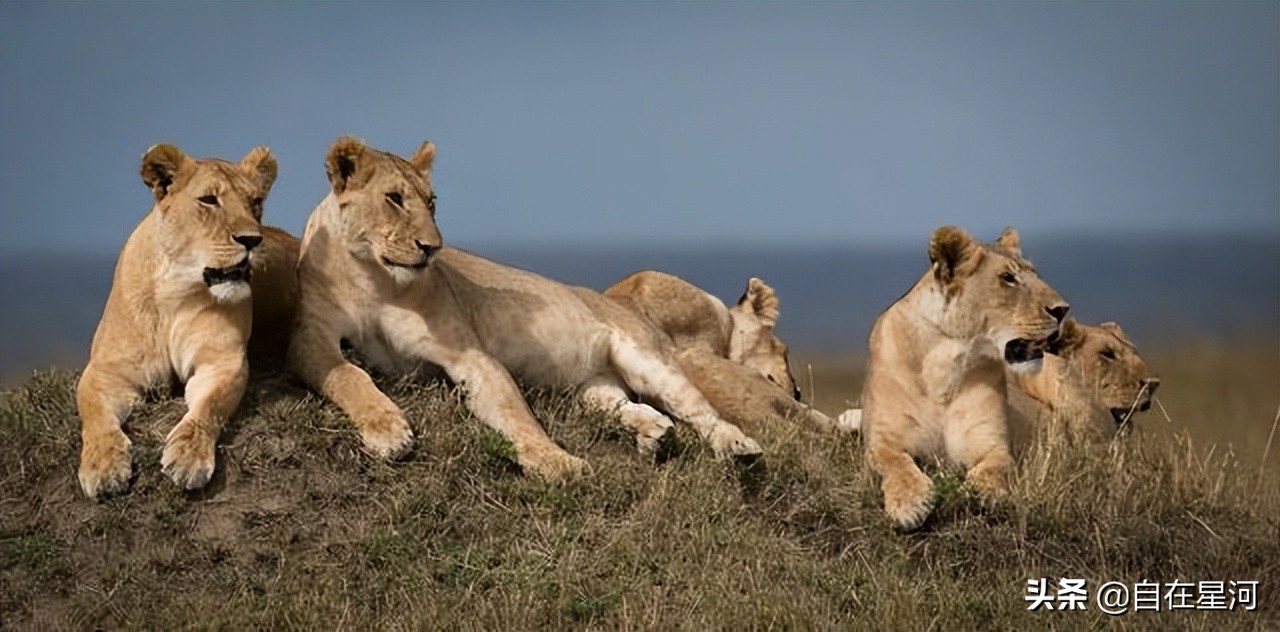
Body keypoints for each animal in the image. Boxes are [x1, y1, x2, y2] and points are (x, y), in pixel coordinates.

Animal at [78, 143, 298, 498]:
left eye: (255, 202)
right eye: (209, 200)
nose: (252, 240)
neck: (174, 290)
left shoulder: (223, 361)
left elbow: (209, 407)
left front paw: (188, 458)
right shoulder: (106, 369)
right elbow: (93, 413)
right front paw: (103, 467)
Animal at [288, 138, 757, 481]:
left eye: (431, 202)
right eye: (394, 199)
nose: (432, 248)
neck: (374, 278)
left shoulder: (469, 356)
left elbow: (516, 414)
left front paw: (555, 462)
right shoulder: (309, 337)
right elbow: (349, 375)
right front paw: (386, 430)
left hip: (646, 358)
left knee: (699, 409)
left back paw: (738, 447)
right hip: (593, 386)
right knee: (623, 405)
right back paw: (653, 433)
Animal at [860, 225, 1070, 529]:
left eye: (1035, 273)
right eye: (1008, 278)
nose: (1063, 310)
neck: (946, 363)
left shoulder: (991, 443)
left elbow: (998, 466)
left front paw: (982, 492)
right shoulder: (883, 439)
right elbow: (894, 463)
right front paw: (910, 503)